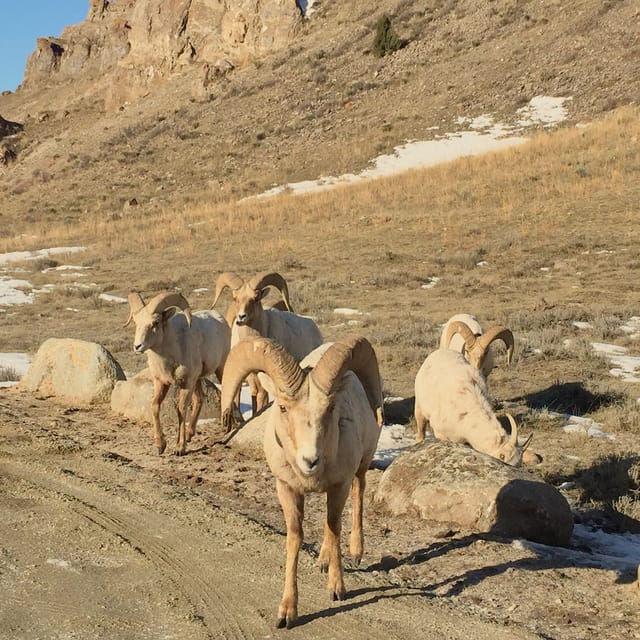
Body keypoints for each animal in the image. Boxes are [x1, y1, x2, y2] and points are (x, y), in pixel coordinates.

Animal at [124, 290, 230, 456]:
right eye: (136, 322)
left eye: (156, 323)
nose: (138, 346)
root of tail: (220, 318)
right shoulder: (161, 382)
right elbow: (154, 405)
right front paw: (160, 446)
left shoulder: (186, 383)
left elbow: (181, 410)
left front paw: (180, 448)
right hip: (197, 379)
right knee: (199, 399)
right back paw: (190, 433)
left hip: (219, 369)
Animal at [215, 270, 324, 416]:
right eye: (235, 298)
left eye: (256, 298)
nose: (241, 317)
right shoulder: (251, 374)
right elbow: (255, 394)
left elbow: (262, 396)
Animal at [220, 338, 382, 628]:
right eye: (283, 407)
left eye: (331, 407)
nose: (310, 460)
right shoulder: (287, 488)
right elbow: (296, 537)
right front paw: (286, 613)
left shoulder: (339, 486)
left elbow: (334, 528)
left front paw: (337, 589)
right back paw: (323, 561)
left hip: (362, 465)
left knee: (359, 491)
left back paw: (355, 552)